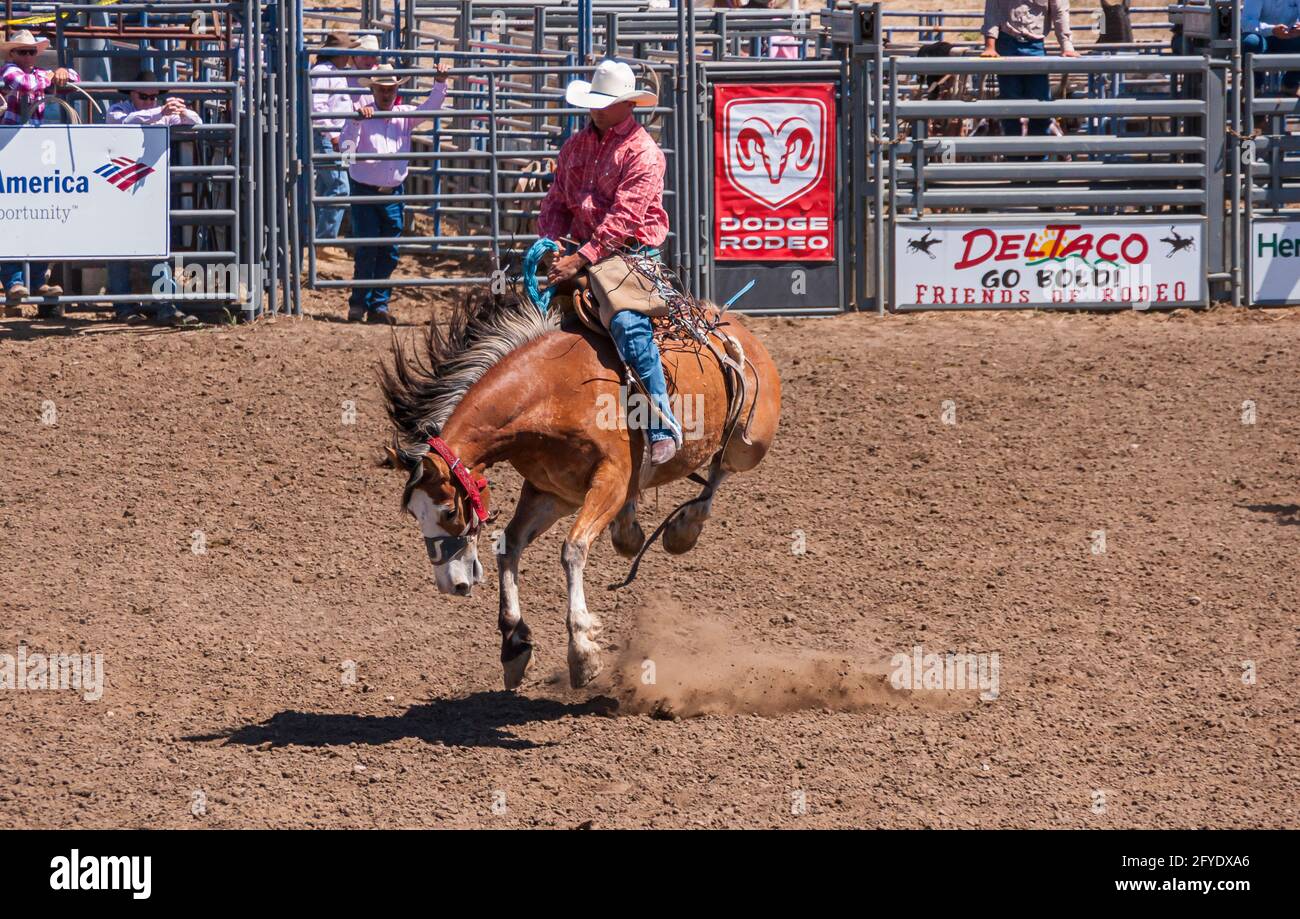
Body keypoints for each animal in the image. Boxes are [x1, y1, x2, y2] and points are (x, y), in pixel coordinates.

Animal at [379, 295, 780, 691]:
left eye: (448, 511)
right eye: (414, 514)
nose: (451, 583)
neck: (550, 392)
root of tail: (733, 323)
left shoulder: (611, 479)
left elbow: (573, 549)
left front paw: (582, 650)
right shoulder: (552, 490)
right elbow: (509, 545)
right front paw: (514, 644)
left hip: (749, 443)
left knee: (719, 470)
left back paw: (685, 528)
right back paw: (629, 530)